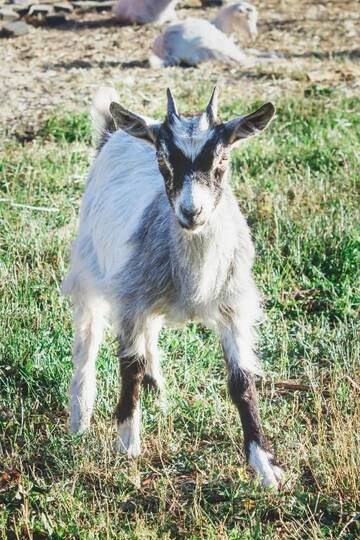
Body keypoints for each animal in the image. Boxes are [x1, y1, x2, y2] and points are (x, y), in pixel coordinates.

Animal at [62, 85, 284, 490]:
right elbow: (128, 367)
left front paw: (265, 466)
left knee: (149, 336)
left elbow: (242, 381)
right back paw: (80, 418)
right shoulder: (130, 300)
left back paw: (158, 391)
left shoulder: (233, 306)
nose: (191, 212)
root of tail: (112, 133)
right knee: (87, 342)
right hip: (90, 269)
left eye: (222, 159)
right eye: (163, 160)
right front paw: (128, 444)